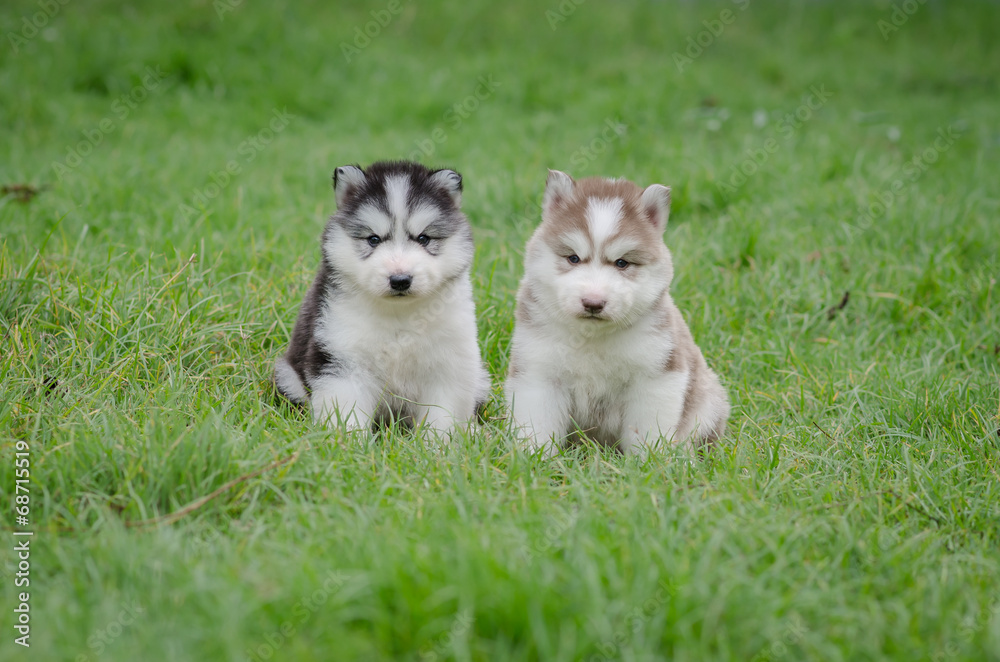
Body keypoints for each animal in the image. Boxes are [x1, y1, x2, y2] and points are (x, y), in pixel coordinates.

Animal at [274, 161, 492, 436]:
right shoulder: (342, 359)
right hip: (287, 376)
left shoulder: (450, 362)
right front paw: (347, 441)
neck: (399, 315)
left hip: (479, 377)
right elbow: (346, 411)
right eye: (373, 239)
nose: (400, 279)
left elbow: (442, 416)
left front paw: (438, 444)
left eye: (423, 238)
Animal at [508, 171, 728, 460]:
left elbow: (647, 431)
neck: (591, 339)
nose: (593, 303)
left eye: (622, 263)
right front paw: (534, 459)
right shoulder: (538, 372)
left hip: (708, 402)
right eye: (573, 258)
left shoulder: (656, 377)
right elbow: (537, 425)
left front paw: (648, 464)